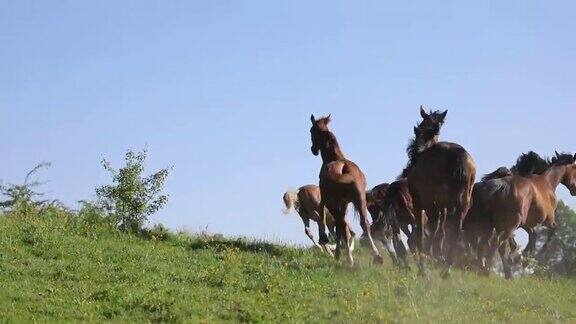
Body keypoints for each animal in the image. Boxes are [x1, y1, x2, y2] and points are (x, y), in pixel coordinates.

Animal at [308, 114, 384, 266]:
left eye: (311, 131)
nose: (313, 149)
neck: (334, 158)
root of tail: (343, 169)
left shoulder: (328, 199)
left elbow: (329, 220)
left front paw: (330, 245)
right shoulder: (345, 203)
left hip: (334, 202)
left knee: (341, 225)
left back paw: (347, 257)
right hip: (359, 200)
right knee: (363, 223)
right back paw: (376, 255)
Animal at [402, 108, 474, 276]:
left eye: (420, 125)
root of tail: (460, 156)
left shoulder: (420, 203)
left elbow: (424, 231)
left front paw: (424, 260)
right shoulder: (441, 207)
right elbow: (439, 231)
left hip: (437, 202)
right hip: (462, 204)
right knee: (455, 231)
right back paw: (446, 268)